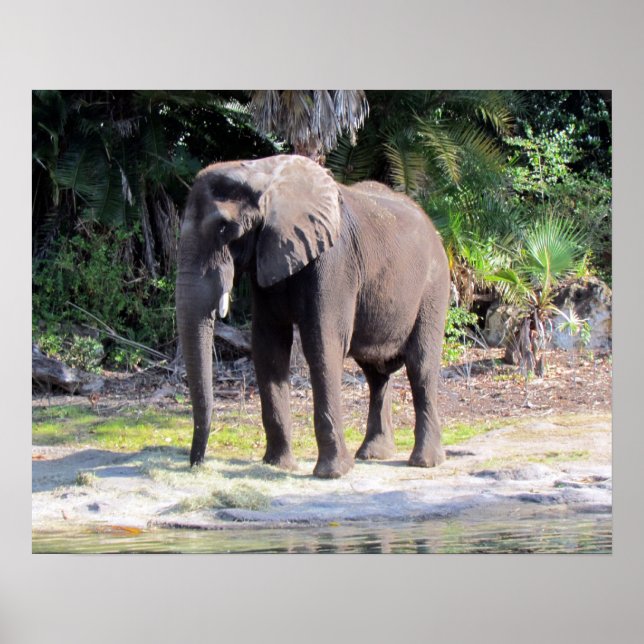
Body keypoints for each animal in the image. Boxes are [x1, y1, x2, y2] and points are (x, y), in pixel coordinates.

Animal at [176, 154, 450, 479]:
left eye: (223, 228)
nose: (198, 464)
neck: (262, 173)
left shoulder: (333, 261)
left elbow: (322, 343)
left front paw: (332, 474)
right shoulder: (267, 257)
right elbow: (268, 347)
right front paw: (278, 465)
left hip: (434, 286)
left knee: (420, 366)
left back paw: (424, 461)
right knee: (376, 373)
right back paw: (373, 455)